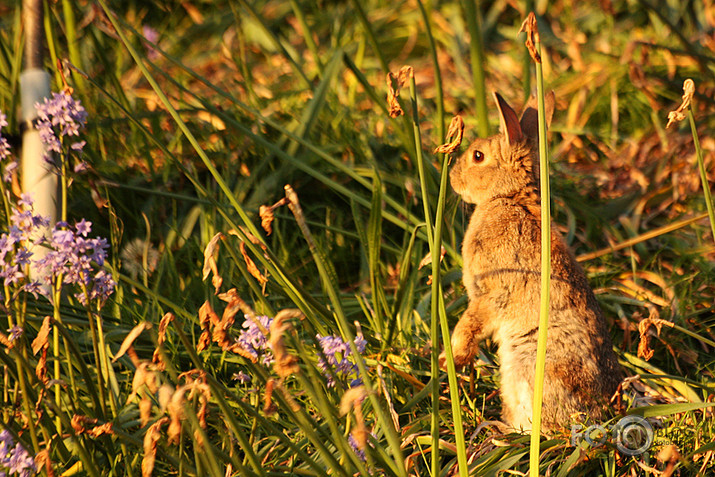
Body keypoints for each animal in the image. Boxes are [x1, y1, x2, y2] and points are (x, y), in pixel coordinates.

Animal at [444, 92, 624, 432]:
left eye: (478, 156)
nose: (452, 178)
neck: (509, 197)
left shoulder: (491, 291)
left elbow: (473, 322)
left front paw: (454, 356)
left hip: (530, 367)